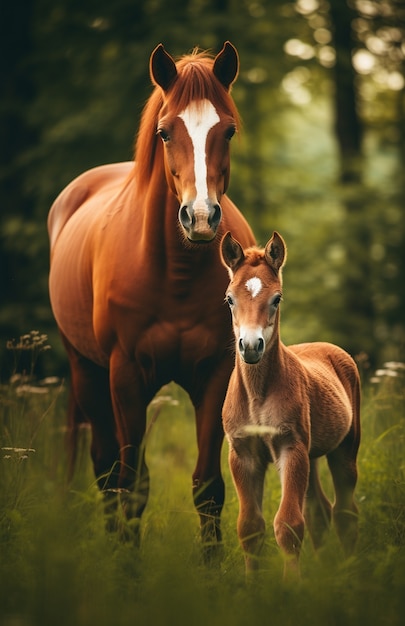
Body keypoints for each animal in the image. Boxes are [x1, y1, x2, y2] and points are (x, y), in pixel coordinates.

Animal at [48, 42, 256, 556]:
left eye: (229, 130)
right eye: (165, 132)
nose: (199, 218)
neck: (173, 274)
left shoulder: (215, 375)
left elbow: (208, 486)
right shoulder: (125, 377)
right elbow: (132, 484)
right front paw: (128, 567)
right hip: (87, 370)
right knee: (105, 469)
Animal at [219, 232, 362, 572]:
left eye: (277, 299)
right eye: (230, 298)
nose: (251, 346)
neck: (257, 395)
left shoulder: (290, 447)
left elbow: (288, 525)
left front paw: (292, 584)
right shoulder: (242, 453)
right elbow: (250, 527)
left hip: (344, 449)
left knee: (345, 513)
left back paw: (351, 573)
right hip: (311, 455)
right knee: (319, 512)